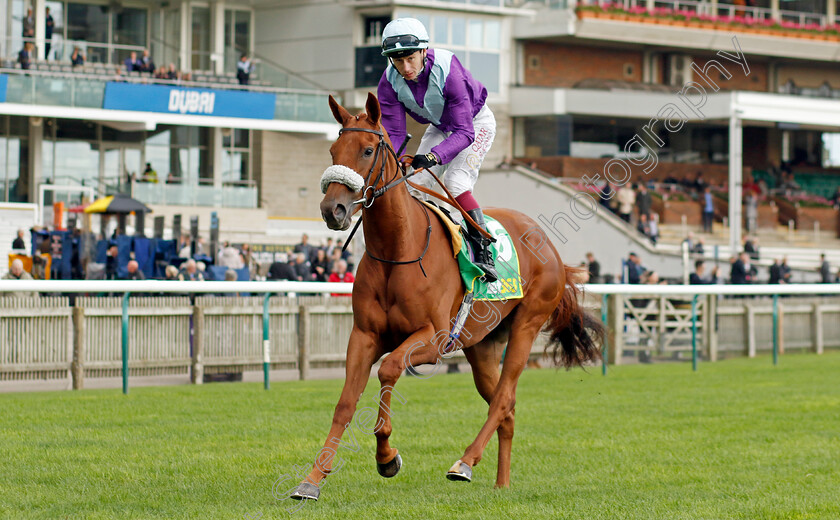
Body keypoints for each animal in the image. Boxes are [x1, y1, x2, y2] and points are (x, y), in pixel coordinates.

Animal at [290, 93, 604, 500]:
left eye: (368, 150)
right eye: (332, 151)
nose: (334, 210)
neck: (399, 249)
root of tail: (550, 247)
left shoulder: (434, 339)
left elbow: (390, 368)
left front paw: (386, 456)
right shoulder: (364, 335)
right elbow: (345, 403)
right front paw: (312, 480)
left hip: (527, 324)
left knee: (503, 398)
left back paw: (464, 463)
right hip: (482, 345)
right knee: (505, 407)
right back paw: (501, 483)